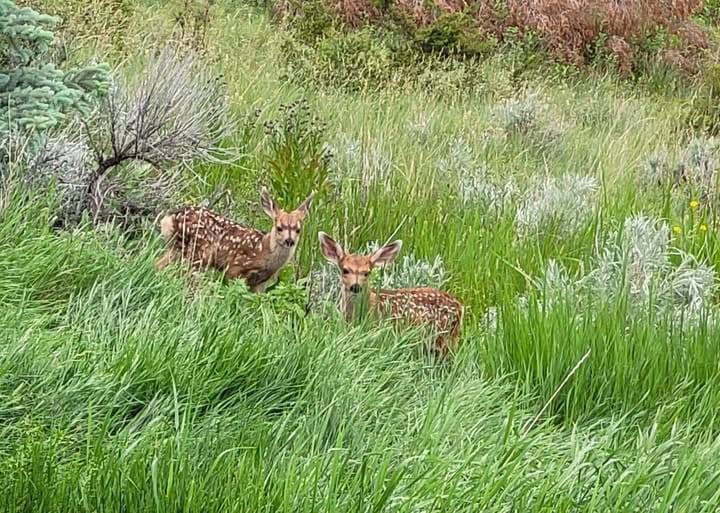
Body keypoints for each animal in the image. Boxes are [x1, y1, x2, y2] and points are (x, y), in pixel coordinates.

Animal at [155, 187, 315, 293]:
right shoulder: (235, 268)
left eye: (298, 230)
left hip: (178, 249)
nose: (289, 241)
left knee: (158, 264)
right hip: (198, 252)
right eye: (279, 227)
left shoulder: (260, 283)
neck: (264, 251)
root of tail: (169, 218)